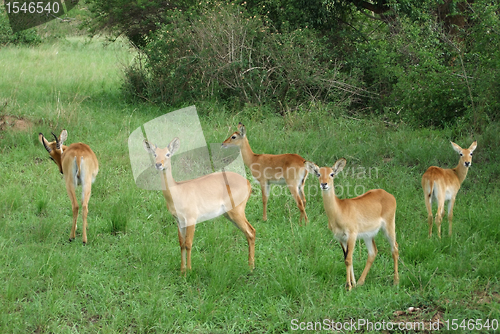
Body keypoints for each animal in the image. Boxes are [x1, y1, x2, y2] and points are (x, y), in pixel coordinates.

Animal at [143, 137, 256, 272]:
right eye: (155, 154)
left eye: (168, 154)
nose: (158, 164)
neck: (177, 192)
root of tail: (248, 183)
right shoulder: (179, 221)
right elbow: (181, 244)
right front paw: (182, 271)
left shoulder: (191, 218)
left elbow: (188, 243)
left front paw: (189, 271)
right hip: (229, 214)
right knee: (249, 233)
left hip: (236, 211)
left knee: (251, 231)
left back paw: (251, 267)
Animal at [304, 159, 398, 290]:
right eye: (318, 173)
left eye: (332, 174)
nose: (324, 184)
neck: (339, 212)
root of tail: (388, 195)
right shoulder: (341, 238)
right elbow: (347, 258)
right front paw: (352, 284)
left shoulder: (352, 235)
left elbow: (348, 259)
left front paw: (348, 286)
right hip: (368, 235)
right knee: (373, 252)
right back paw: (360, 282)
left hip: (389, 226)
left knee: (395, 248)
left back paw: (396, 282)